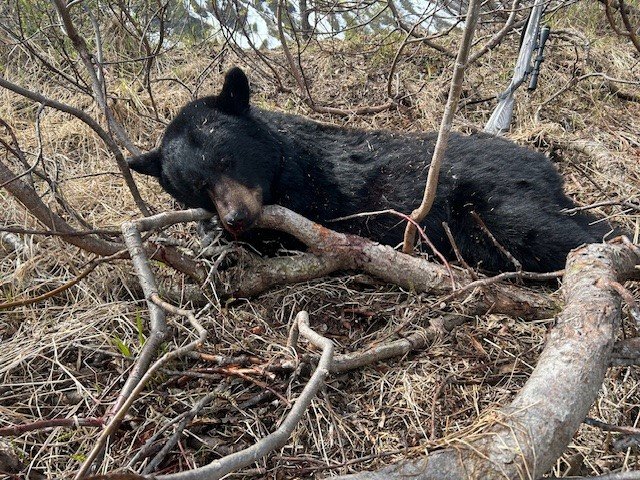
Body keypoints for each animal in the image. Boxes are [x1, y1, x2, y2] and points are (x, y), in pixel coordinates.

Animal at [128, 67, 613, 272]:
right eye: (195, 185)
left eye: (227, 159)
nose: (237, 218)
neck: (282, 165)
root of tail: (546, 167)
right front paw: (211, 235)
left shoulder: (306, 197)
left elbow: (277, 239)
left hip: (492, 202)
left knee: (555, 233)